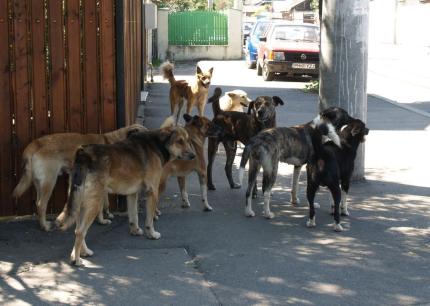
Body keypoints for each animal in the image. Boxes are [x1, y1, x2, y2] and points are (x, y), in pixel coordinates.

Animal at [11, 123, 146, 231]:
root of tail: (36, 143)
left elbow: (105, 202)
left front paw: (107, 214)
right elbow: (101, 205)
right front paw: (102, 221)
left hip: (40, 183)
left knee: (38, 203)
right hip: (49, 182)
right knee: (41, 205)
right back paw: (45, 226)